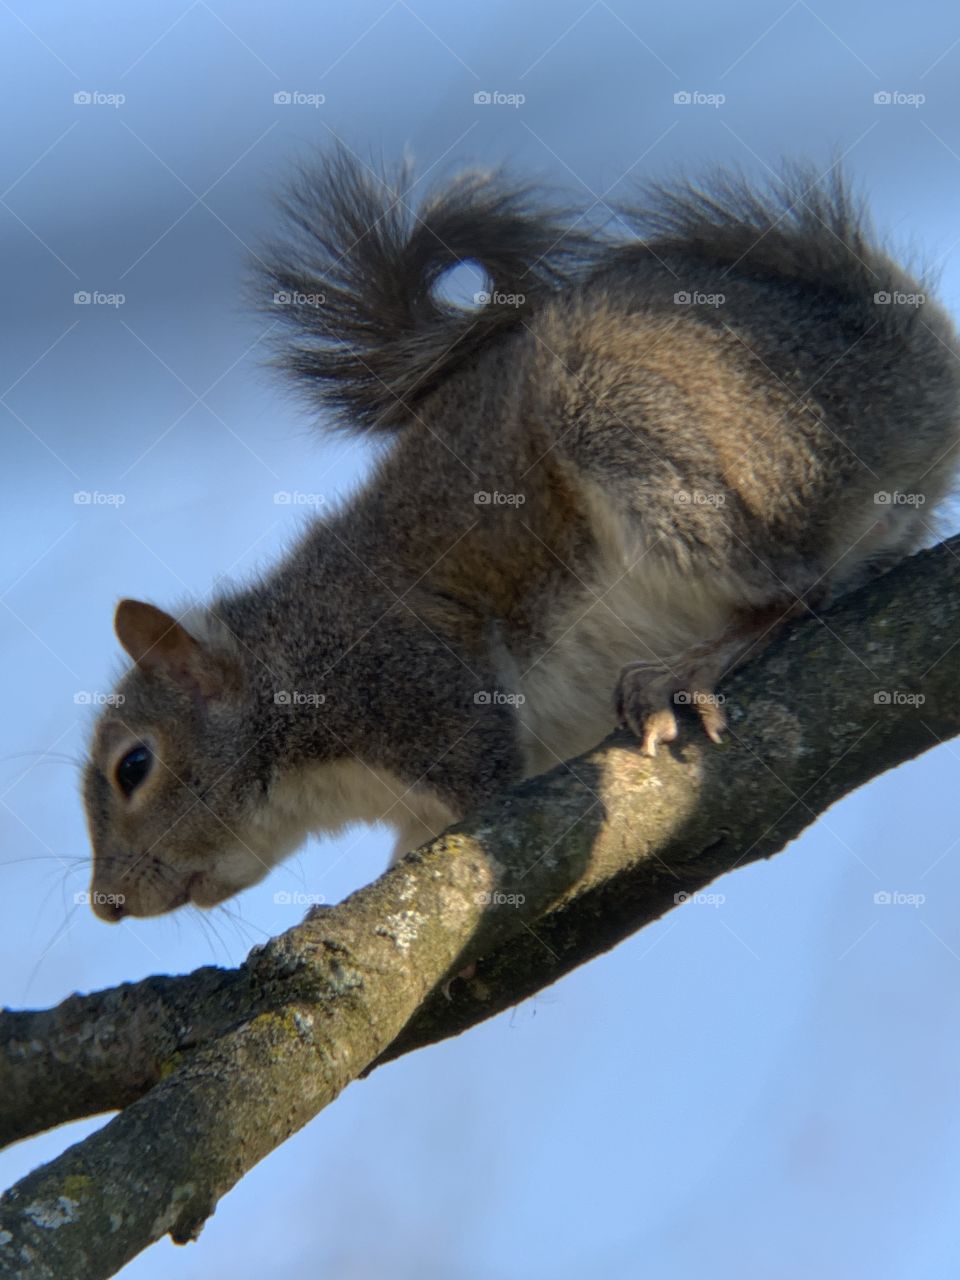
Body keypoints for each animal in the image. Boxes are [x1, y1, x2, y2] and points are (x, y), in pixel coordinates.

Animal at [83, 147, 960, 921]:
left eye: (134, 766)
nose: (107, 905)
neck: (279, 663)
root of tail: (912, 375)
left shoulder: (410, 680)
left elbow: (479, 785)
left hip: (649, 436)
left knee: (795, 583)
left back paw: (690, 668)